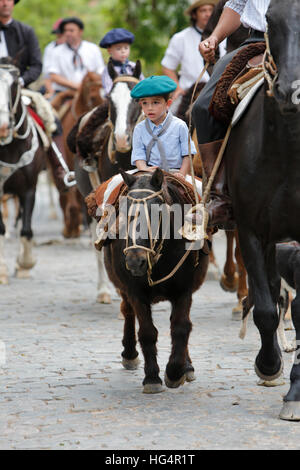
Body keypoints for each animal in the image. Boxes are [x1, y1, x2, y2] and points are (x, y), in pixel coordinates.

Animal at [99, 169, 210, 392]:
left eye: (157, 212)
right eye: (125, 211)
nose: (135, 260)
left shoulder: (184, 290)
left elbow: (181, 327)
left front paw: (175, 371)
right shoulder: (135, 292)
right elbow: (147, 332)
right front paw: (152, 378)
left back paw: (187, 366)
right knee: (127, 311)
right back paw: (130, 354)